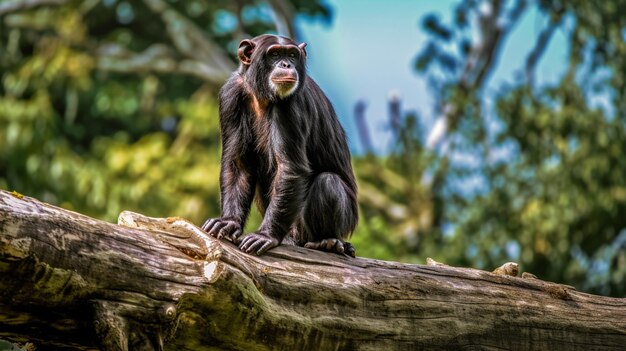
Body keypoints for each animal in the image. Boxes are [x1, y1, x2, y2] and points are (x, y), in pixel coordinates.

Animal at [201, 34, 356, 258]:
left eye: (291, 54)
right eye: (274, 54)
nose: (286, 64)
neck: (261, 95)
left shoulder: (291, 106)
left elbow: (290, 168)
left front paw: (266, 235)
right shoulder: (230, 95)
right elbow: (238, 164)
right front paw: (228, 223)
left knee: (328, 182)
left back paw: (328, 241)